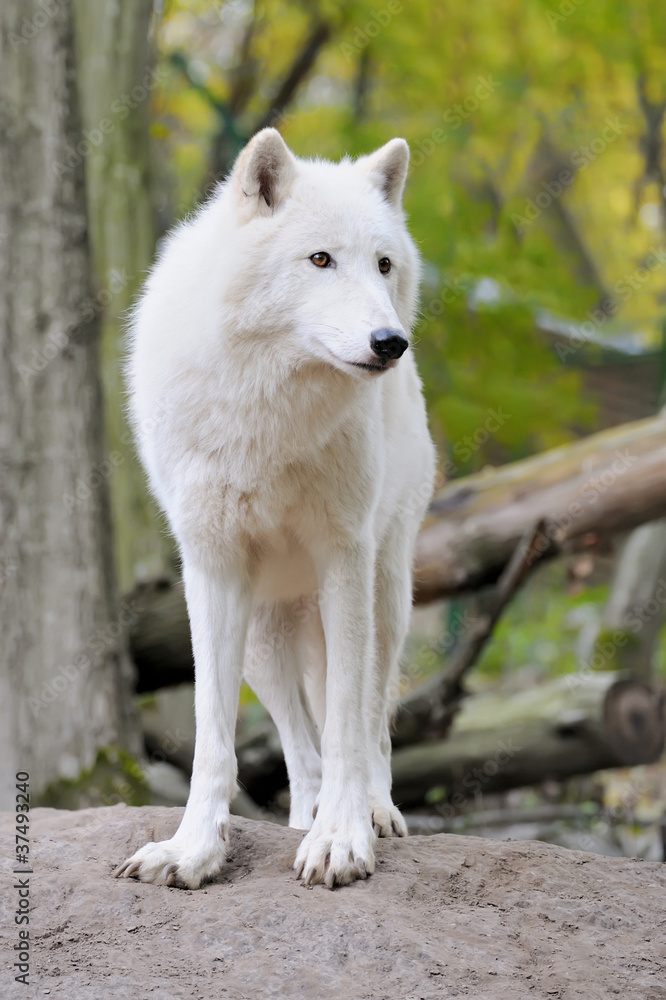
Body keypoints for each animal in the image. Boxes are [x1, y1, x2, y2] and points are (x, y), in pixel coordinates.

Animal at [115, 129, 436, 888]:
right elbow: (212, 737)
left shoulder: (343, 556)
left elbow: (348, 720)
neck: (269, 414)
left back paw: (373, 811)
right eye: (321, 259)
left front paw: (342, 841)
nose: (390, 343)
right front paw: (194, 849)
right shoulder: (212, 567)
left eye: (383, 264)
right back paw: (303, 815)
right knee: (301, 744)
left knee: (373, 723)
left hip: (384, 594)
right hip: (265, 634)